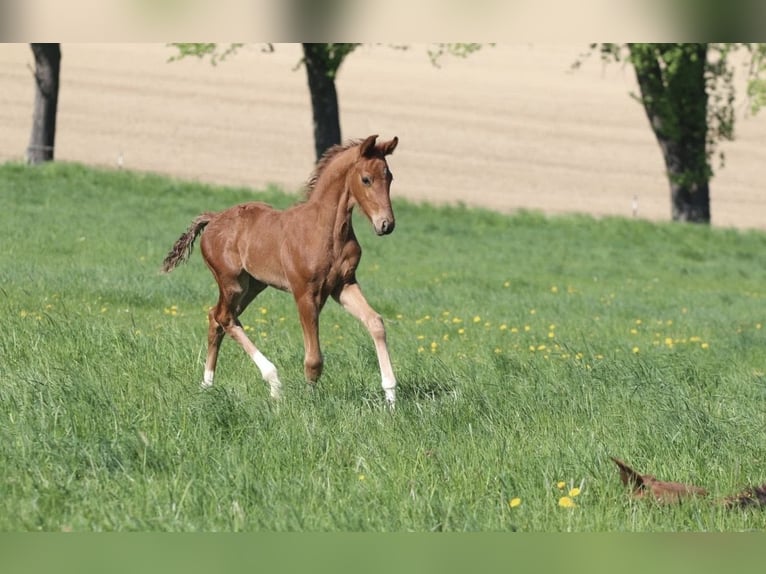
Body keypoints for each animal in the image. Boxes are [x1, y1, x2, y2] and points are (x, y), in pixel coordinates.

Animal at [161, 134, 399, 405]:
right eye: (366, 179)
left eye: (390, 177)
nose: (386, 224)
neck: (327, 229)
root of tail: (213, 218)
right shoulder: (305, 293)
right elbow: (314, 358)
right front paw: (308, 401)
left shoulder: (343, 285)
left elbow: (375, 322)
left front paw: (391, 396)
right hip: (232, 282)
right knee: (224, 317)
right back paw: (273, 381)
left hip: (253, 285)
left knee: (218, 317)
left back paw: (207, 385)